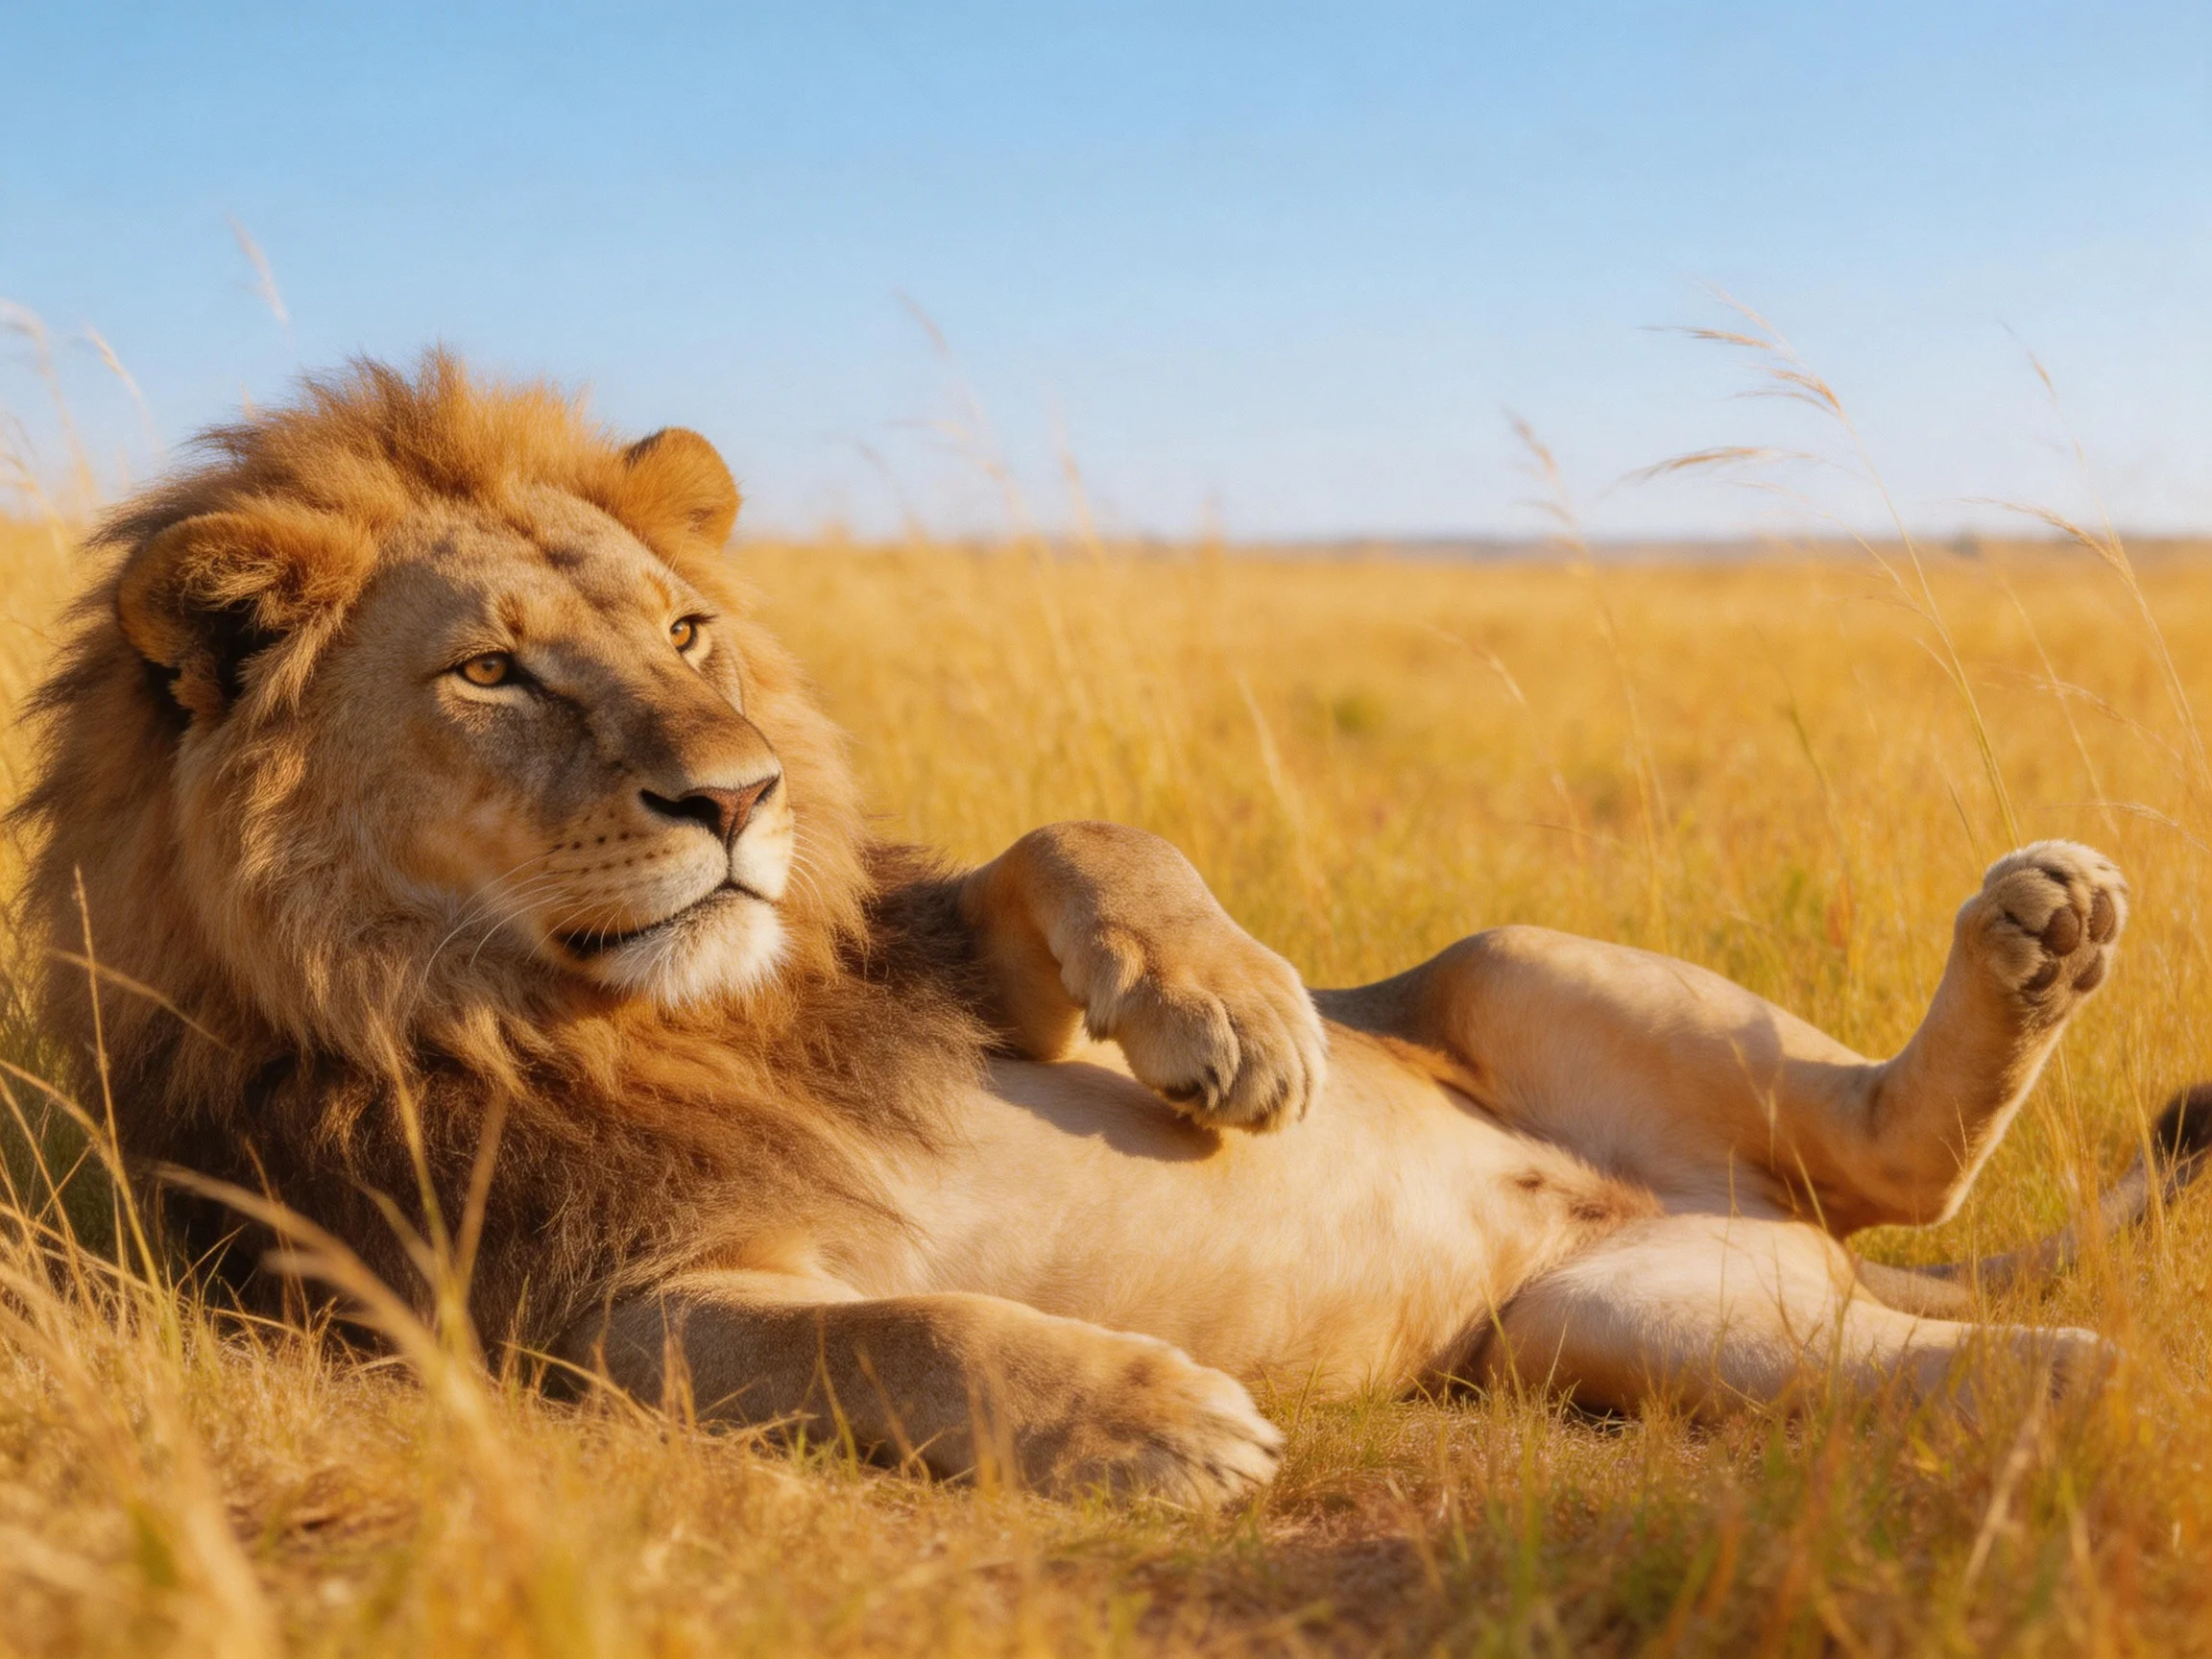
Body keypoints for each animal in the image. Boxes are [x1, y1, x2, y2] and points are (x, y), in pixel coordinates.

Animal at [17, 353, 2207, 1502]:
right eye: (492, 672)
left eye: (688, 631)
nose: (740, 798)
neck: (639, 1015)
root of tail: (1696, 1222)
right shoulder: (560, 1308)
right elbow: (894, 1328)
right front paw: (1144, 1412)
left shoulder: (910, 963)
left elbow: (1075, 840)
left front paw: (1233, 1022)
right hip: (1628, 1328)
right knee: (1987, 1333)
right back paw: (2102, 1386)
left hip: (1517, 966)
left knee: (1900, 1157)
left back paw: (2043, 934)